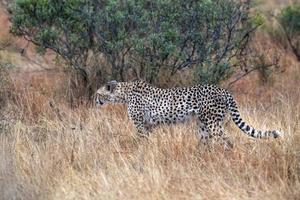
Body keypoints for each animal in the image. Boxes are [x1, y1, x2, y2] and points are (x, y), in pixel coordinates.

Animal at [95, 79, 282, 147]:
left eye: (98, 94)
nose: (94, 100)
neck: (124, 93)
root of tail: (223, 90)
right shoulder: (149, 125)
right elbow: (145, 140)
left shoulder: (141, 125)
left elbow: (140, 140)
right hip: (203, 125)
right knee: (207, 142)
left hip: (213, 123)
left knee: (226, 140)